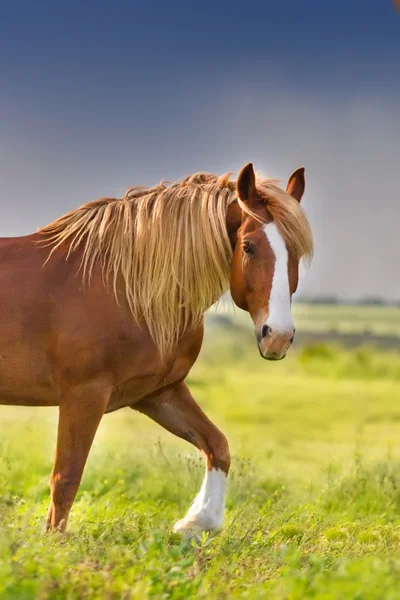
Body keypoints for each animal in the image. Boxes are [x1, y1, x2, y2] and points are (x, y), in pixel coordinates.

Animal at [0, 163, 312, 536]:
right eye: (249, 246)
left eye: (295, 252)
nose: (277, 336)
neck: (125, 287)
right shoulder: (84, 394)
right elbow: (66, 479)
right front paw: (52, 545)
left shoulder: (158, 394)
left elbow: (218, 446)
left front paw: (196, 522)